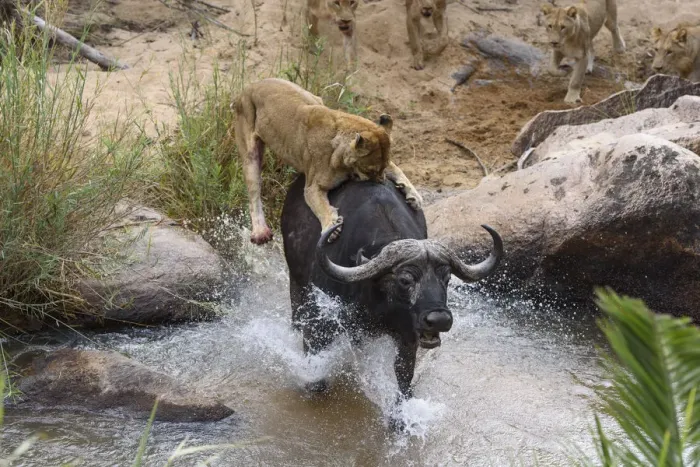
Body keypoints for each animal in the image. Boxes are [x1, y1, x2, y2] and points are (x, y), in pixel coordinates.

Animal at [281, 175, 503, 402]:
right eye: (405, 280)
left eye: (447, 278)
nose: (439, 320)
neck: (374, 299)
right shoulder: (319, 318)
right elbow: (315, 364)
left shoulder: (407, 335)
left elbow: (404, 374)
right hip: (296, 283)